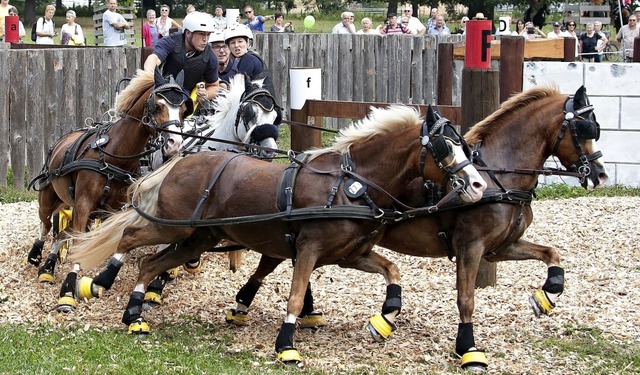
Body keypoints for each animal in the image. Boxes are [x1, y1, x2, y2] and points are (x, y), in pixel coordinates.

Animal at [25, 69, 194, 312]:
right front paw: (67, 292)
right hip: (49, 199)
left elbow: (110, 239)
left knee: (62, 234)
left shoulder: (111, 211)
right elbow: (77, 242)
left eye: (182, 110)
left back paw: (48, 268)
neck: (114, 156)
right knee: (47, 225)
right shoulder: (84, 204)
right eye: (158, 106)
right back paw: (38, 257)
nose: (175, 144)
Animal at [66, 103, 484, 364]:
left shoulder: (350, 254)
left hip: (198, 238)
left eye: (466, 145)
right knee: (130, 236)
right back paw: (98, 281)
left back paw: (134, 313)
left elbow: (392, 271)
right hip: (172, 222)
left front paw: (386, 316)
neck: (350, 185)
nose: (478, 185)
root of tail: (177, 164)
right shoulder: (310, 249)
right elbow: (296, 297)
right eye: (444, 146)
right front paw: (286, 345)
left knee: (152, 263)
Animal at [221, 84, 608, 370]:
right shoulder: (471, 246)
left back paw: (260, 306)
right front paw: (468, 348)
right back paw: (246, 305)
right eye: (584, 129)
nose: (600, 174)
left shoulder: (501, 247)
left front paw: (546, 296)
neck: (497, 173)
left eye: (596, 129)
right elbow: (466, 298)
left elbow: (551, 254)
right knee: (270, 261)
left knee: (277, 261)